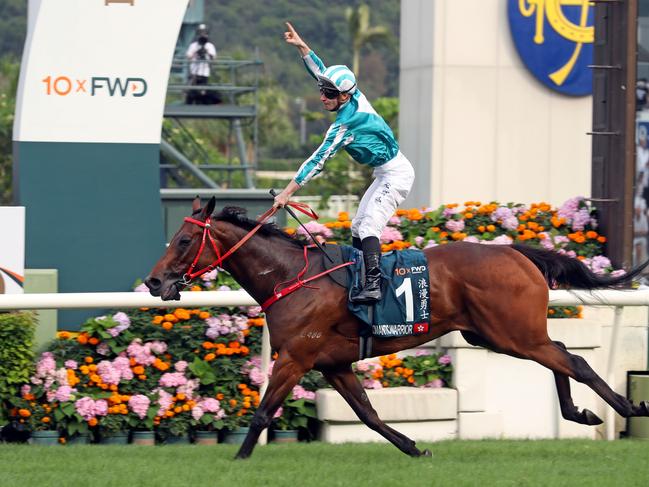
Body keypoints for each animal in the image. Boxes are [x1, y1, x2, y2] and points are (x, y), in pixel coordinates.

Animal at [144, 196, 648, 460]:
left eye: (184, 240)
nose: (154, 282)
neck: (290, 277)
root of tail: (515, 251)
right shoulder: (333, 364)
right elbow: (368, 414)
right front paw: (414, 447)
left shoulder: (296, 357)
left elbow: (264, 412)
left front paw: (238, 459)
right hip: (499, 335)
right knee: (561, 353)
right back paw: (580, 413)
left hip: (512, 333)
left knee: (575, 359)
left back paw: (627, 406)